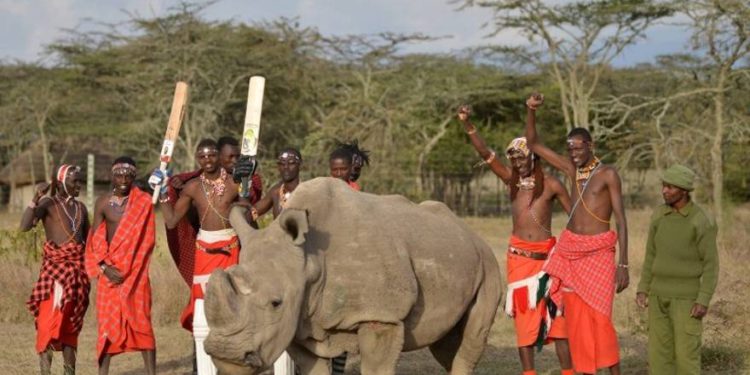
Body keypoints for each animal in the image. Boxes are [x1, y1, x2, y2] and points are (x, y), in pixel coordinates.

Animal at [203, 179, 502, 375]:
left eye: (276, 303)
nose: (225, 355)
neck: (310, 260)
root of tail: (469, 232)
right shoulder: (298, 322)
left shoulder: (380, 314)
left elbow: (376, 366)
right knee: (447, 346)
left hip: (488, 261)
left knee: (472, 337)